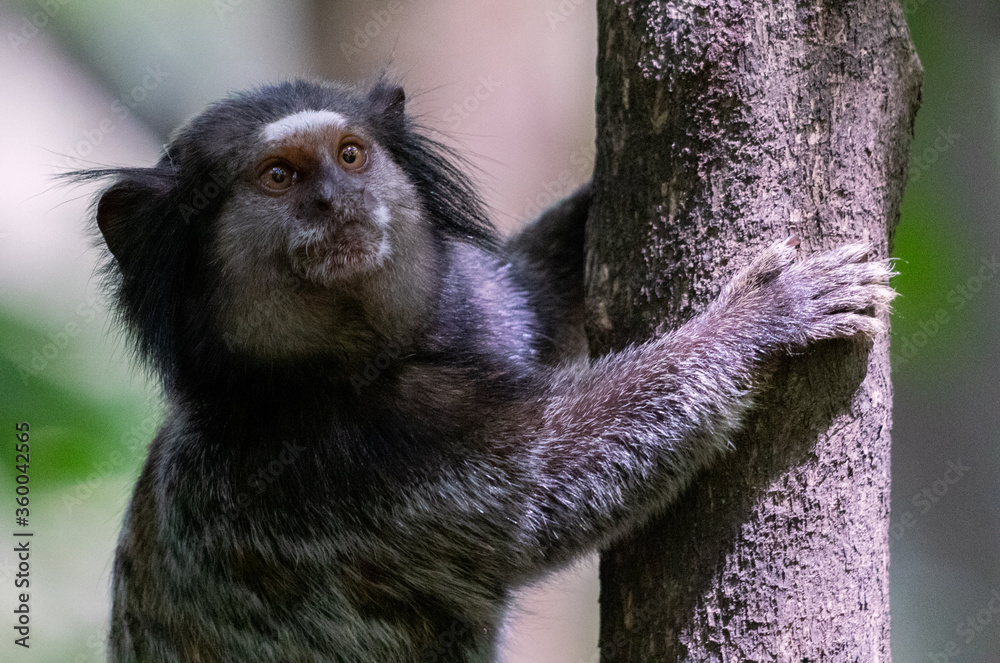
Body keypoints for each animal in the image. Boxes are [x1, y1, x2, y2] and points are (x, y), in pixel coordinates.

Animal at [74, 78, 895, 663]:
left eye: (350, 155)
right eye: (279, 175)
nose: (338, 200)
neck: (332, 376)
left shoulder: (474, 308)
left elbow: (529, 296)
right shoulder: (348, 476)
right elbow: (552, 476)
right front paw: (766, 318)